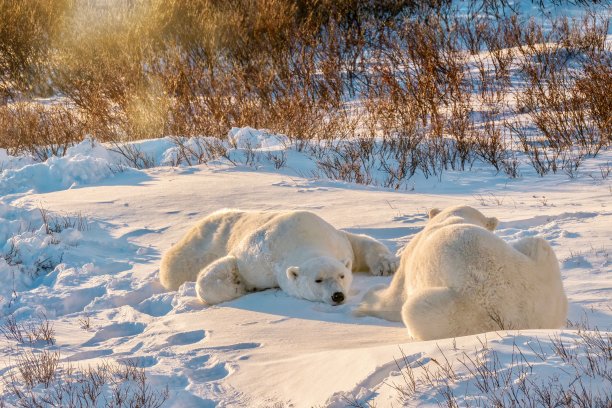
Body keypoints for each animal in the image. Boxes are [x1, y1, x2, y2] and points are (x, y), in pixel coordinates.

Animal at [159, 210, 396, 306]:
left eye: (342, 276)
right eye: (317, 280)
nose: (337, 295)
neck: (302, 237)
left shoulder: (335, 239)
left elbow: (357, 244)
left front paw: (387, 265)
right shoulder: (257, 258)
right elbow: (231, 263)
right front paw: (237, 286)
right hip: (194, 249)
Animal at [356, 204, 568, 342]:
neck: (453, 218)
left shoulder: (411, 256)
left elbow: (394, 297)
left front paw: (368, 299)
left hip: (456, 312)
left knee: (412, 309)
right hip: (545, 280)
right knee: (537, 243)